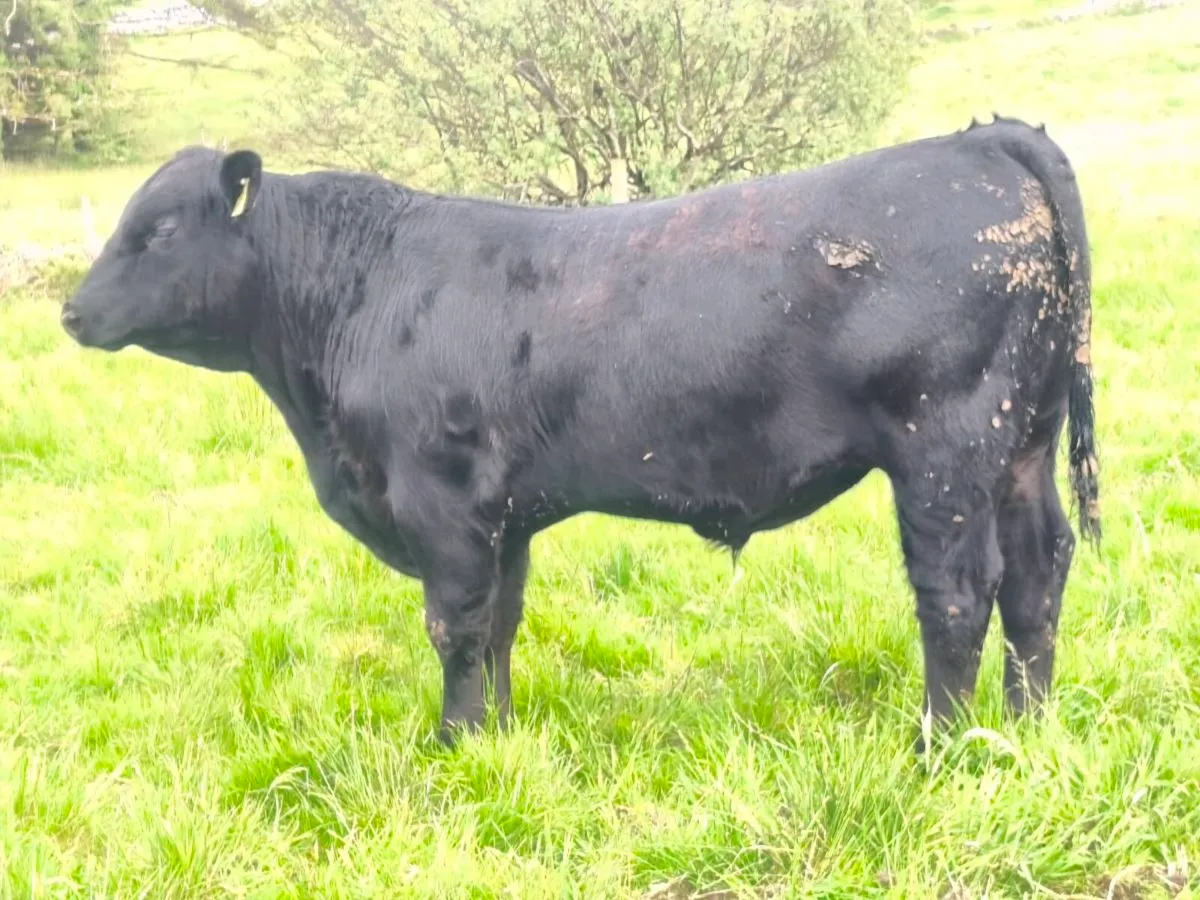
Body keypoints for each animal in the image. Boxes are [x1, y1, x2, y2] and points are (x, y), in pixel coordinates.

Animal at [60, 114, 1100, 747]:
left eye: (157, 232)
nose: (71, 312)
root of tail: (981, 142)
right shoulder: (503, 516)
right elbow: (499, 626)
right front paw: (498, 739)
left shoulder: (442, 503)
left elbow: (455, 626)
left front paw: (451, 745)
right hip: (1023, 445)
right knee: (1038, 574)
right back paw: (1028, 728)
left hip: (945, 450)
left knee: (958, 594)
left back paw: (940, 745)